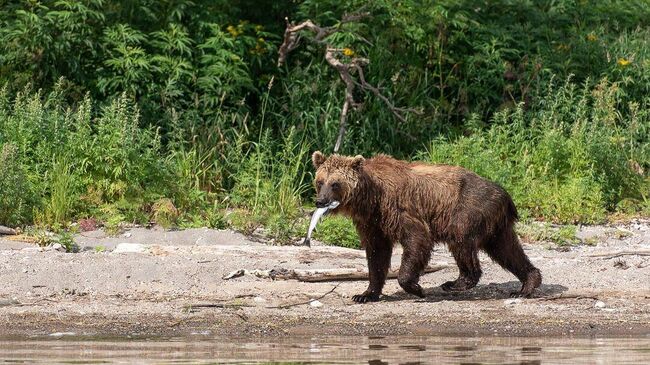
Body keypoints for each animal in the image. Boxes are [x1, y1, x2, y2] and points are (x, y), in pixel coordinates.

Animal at [312, 151, 540, 302]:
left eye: (335, 183)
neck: (370, 198)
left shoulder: (398, 208)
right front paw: (365, 294)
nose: (320, 201)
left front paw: (416, 288)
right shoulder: (373, 222)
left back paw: (455, 283)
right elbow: (377, 254)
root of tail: (505, 195)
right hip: (495, 224)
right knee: (507, 250)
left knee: (461, 240)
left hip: (467, 209)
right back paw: (527, 284)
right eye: (320, 181)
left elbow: (417, 238)